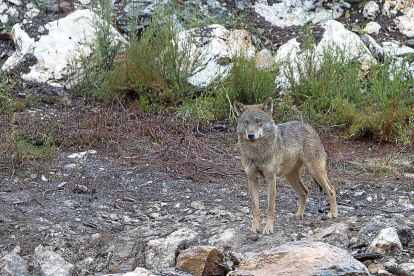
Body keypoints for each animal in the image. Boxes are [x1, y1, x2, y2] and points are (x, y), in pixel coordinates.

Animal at [233, 97, 336, 235]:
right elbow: (255, 208)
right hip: (290, 177)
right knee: (305, 192)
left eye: (258, 121)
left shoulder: (271, 178)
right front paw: (255, 227)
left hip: (315, 171)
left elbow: (270, 208)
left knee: (331, 189)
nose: (250, 135)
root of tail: (309, 126)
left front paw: (268, 228)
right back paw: (299, 214)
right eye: (246, 122)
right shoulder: (252, 179)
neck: (257, 153)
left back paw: (333, 213)